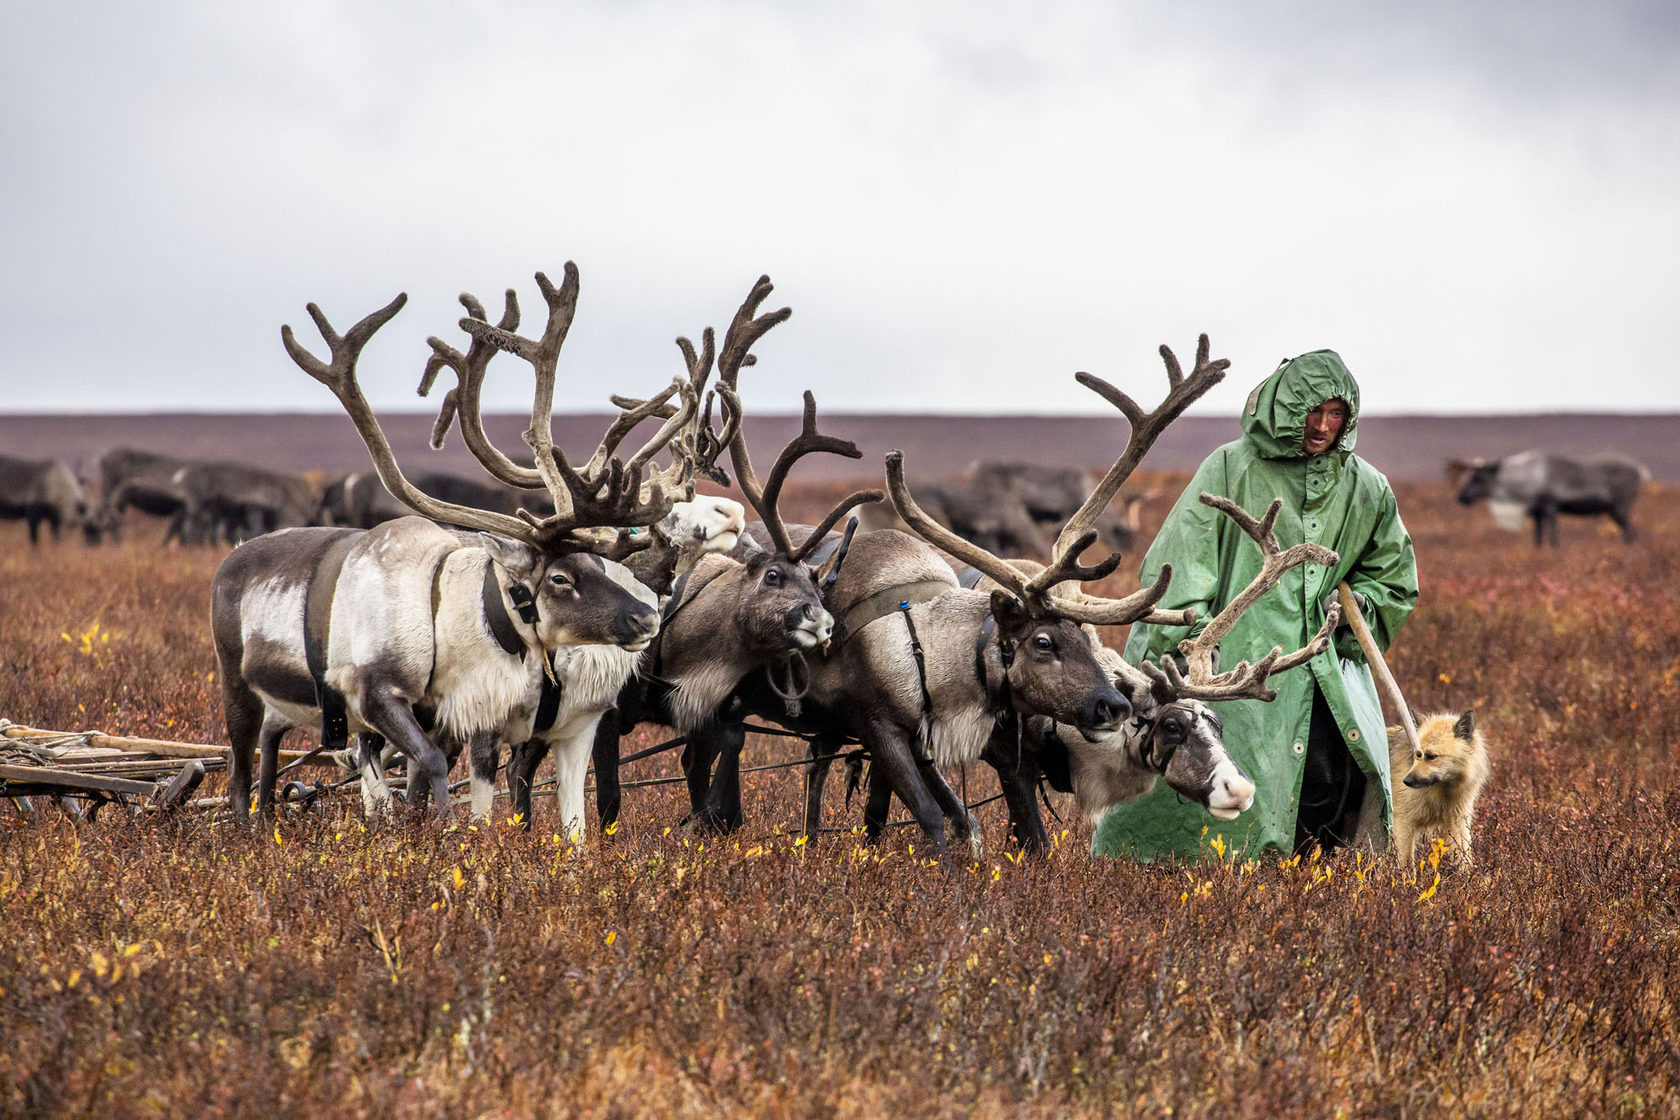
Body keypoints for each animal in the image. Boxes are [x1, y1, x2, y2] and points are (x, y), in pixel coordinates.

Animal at [1391, 708, 1498, 866]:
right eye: (1417, 755)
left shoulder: (1457, 824)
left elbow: (1463, 859)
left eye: (1431, 756)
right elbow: (1405, 862)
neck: (1443, 790)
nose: (1406, 781)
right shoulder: (1403, 823)